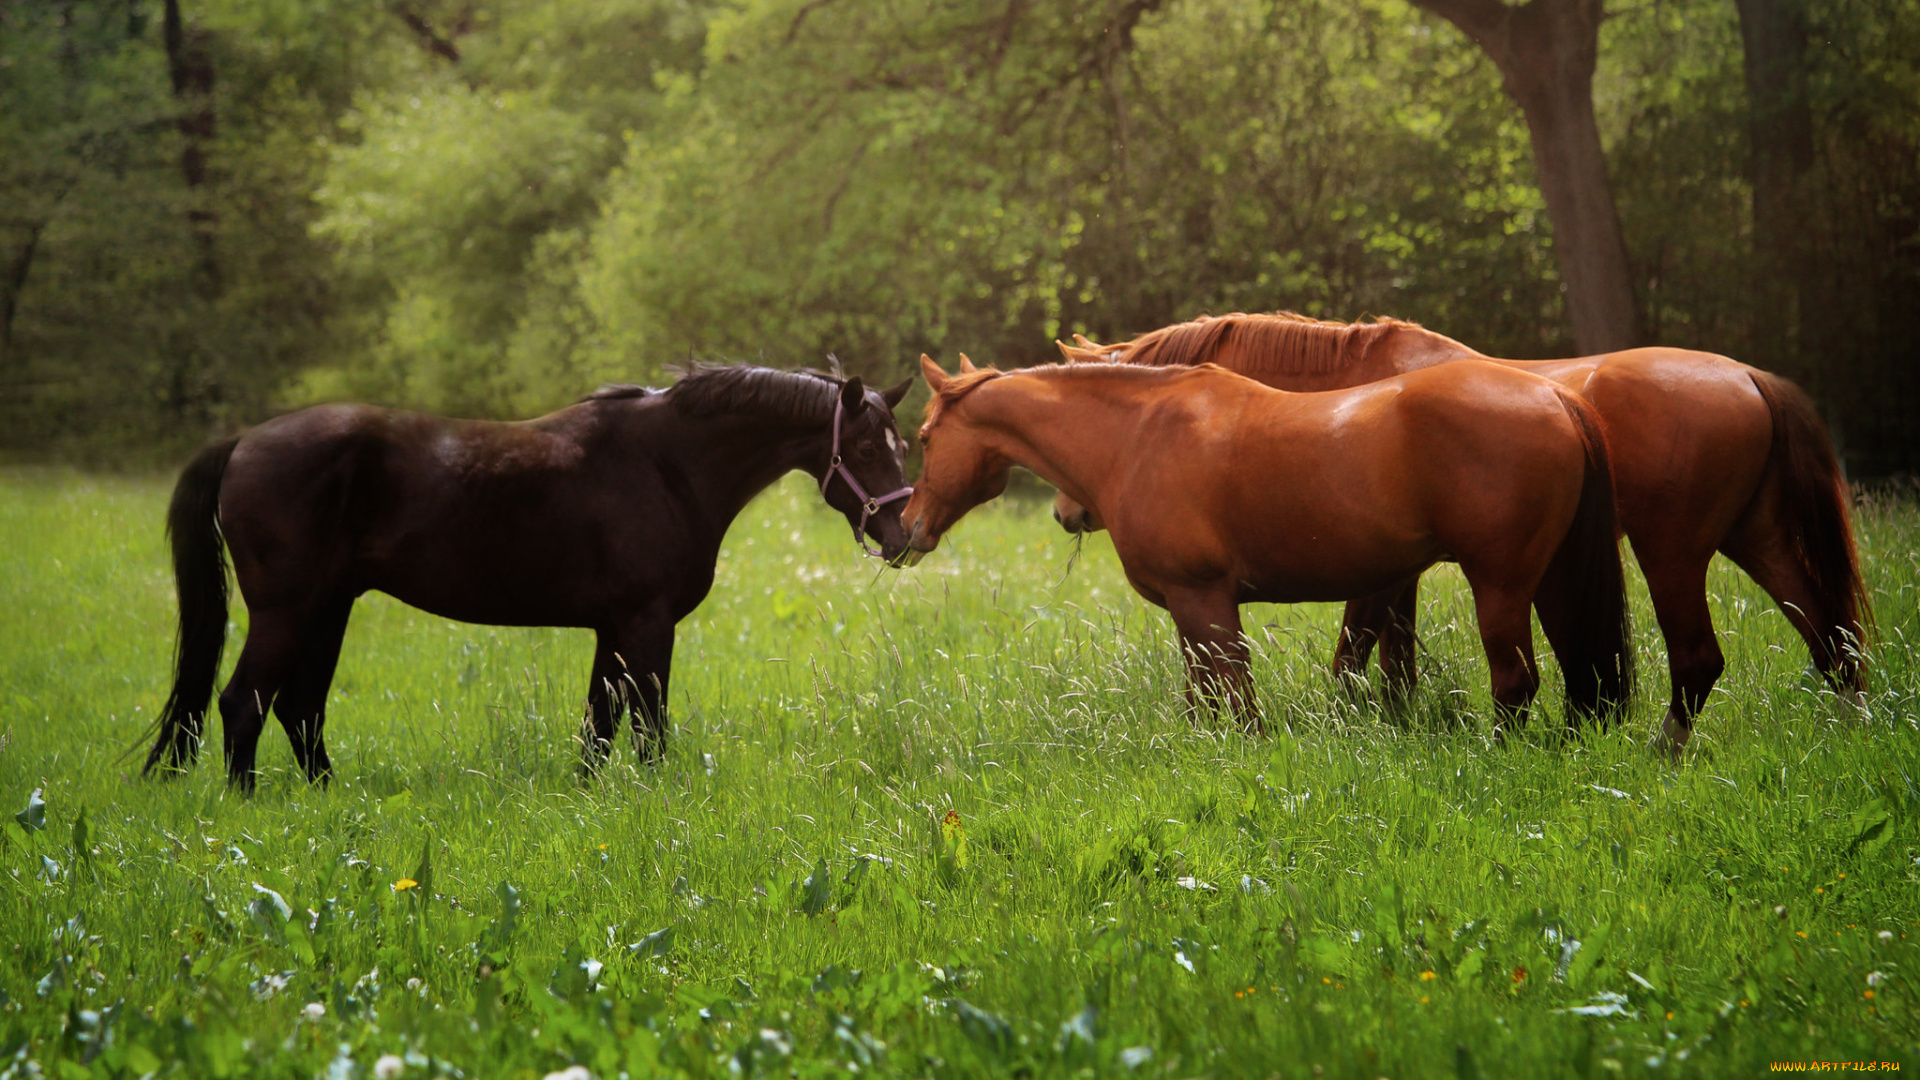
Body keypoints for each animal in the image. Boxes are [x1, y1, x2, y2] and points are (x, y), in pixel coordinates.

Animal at [144, 365, 913, 787]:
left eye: (902, 444)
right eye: (865, 447)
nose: (905, 536)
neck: (666, 464)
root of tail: (244, 441)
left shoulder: (613, 628)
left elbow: (599, 725)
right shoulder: (647, 622)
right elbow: (648, 727)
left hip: (329, 608)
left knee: (300, 710)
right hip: (287, 610)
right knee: (243, 703)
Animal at [902, 357, 1635, 726]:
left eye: (924, 438)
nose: (907, 529)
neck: (1139, 435)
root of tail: (1556, 397)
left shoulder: (1205, 601)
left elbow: (1237, 703)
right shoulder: (1191, 614)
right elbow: (1201, 701)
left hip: (1502, 584)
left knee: (1516, 682)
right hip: (1554, 579)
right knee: (1581, 675)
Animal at [1059, 311, 1866, 749]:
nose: (1069, 512)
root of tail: (1750, 377)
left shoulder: (1381, 574)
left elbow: (1354, 658)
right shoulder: (1398, 572)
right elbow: (1392, 664)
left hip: (1673, 551)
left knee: (1699, 659)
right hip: (1755, 538)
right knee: (1831, 640)